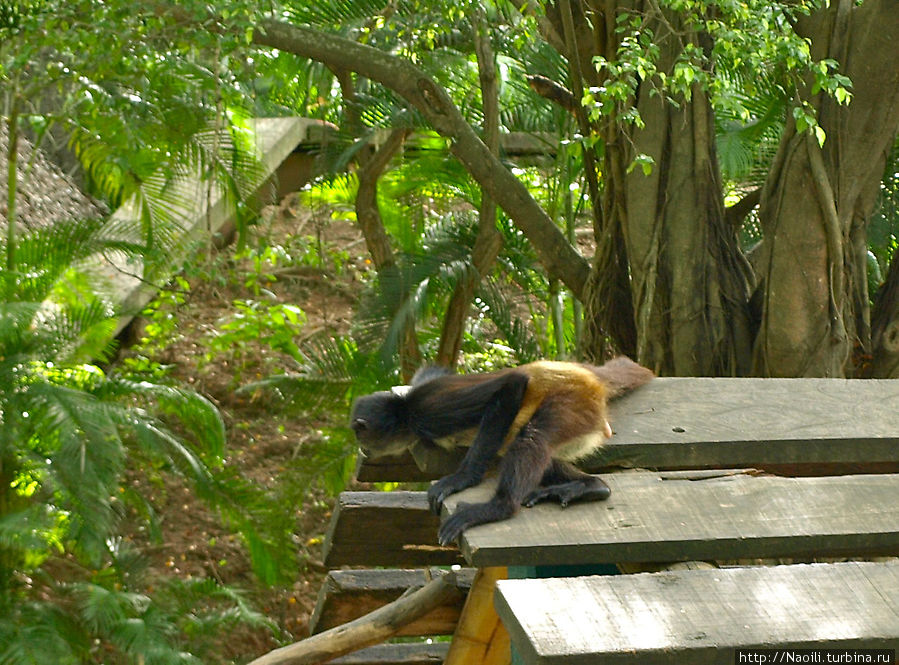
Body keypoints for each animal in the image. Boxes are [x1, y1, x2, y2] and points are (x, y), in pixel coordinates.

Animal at [350, 356, 652, 544]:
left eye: (358, 434)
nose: (362, 449)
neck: (404, 409)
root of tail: (586, 374)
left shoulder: (427, 411)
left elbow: (510, 386)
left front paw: (461, 480)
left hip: (575, 401)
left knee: (533, 437)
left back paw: (499, 507)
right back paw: (593, 486)